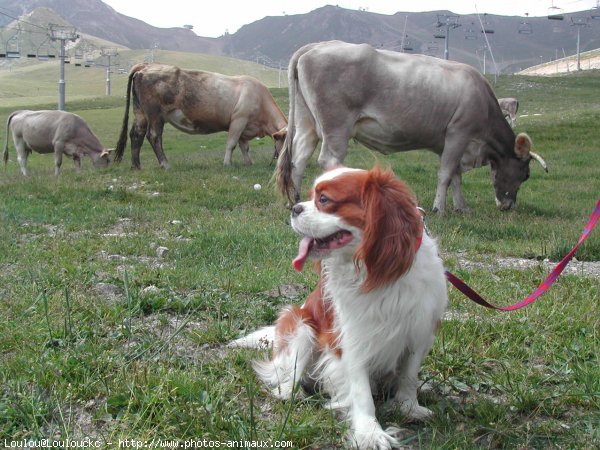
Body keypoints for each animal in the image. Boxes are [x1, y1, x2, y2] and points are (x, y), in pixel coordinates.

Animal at [116, 62, 290, 169]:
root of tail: (146, 65)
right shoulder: (239, 120)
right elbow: (232, 144)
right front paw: (227, 164)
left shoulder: (244, 127)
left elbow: (244, 147)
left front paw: (248, 163)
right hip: (155, 114)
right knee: (153, 135)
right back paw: (165, 164)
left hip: (140, 112)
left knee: (136, 134)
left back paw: (136, 166)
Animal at [276, 40, 548, 213]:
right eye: (526, 174)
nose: (507, 206)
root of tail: (315, 46)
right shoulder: (459, 132)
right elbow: (445, 174)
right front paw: (440, 208)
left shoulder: (448, 142)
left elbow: (455, 176)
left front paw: (461, 207)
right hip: (336, 125)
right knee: (329, 160)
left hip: (307, 123)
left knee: (299, 158)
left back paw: (293, 201)